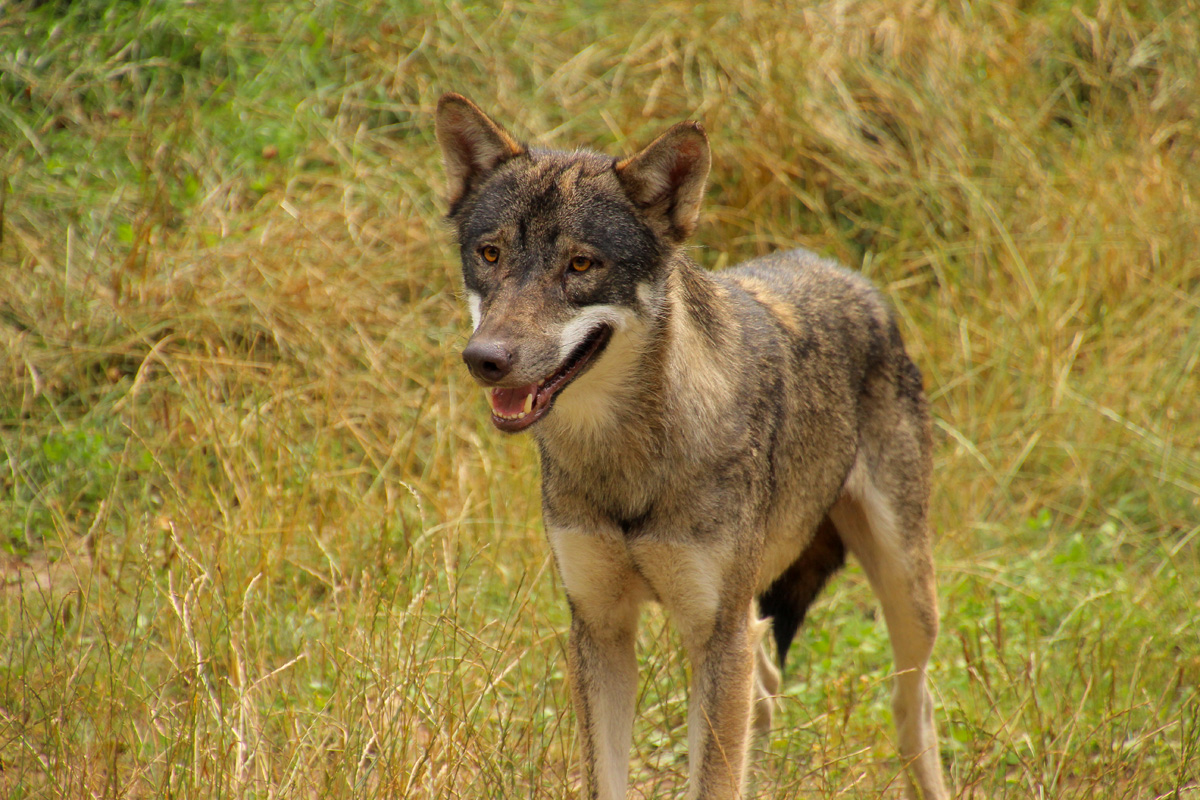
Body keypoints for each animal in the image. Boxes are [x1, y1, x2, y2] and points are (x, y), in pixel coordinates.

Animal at [435, 92, 950, 800]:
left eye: (580, 265)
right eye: (489, 255)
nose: (484, 359)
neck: (626, 457)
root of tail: (855, 280)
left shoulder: (713, 632)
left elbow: (713, 780)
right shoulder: (600, 627)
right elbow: (609, 780)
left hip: (905, 595)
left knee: (912, 703)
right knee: (767, 688)